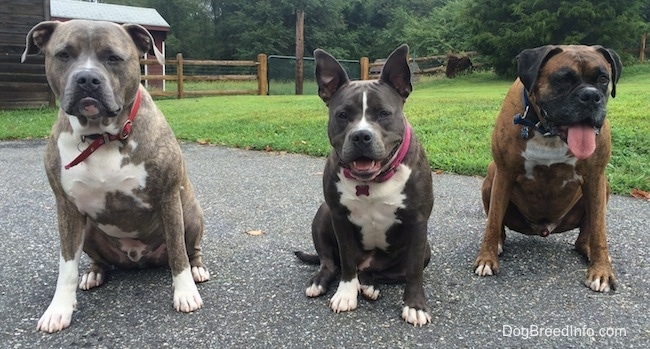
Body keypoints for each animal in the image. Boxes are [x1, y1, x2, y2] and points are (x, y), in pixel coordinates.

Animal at [22, 19, 210, 332]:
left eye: (113, 57)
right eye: (63, 54)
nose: (87, 79)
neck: (102, 136)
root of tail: (136, 259)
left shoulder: (169, 196)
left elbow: (178, 252)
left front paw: (185, 293)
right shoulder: (66, 208)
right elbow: (66, 265)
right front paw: (59, 309)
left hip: (191, 213)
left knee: (190, 249)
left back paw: (197, 270)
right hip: (88, 230)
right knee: (97, 261)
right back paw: (93, 274)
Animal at [296, 44, 432, 324]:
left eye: (383, 113)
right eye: (342, 115)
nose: (361, 136)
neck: (373, 179)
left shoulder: (417, 222)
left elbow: (413, 270)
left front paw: (415, 306)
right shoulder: (339, 218)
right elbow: (346, 262)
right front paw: (345, 294)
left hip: (425, 249)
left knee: (383, 273)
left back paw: (369, 284)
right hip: (323, 214)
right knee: (330, 262)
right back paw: (321, 281)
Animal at [474, 44, 620, 292]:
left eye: (603, 79)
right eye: (562, 79)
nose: (591, 96)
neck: (547, 131)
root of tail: (543, 229)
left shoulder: (595, 176)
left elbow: (599, 230)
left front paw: (601, 272)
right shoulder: (504, 173)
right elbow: (492, 222)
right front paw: (486, 259)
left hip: (604, 186)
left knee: (585, 235)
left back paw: (590, 251)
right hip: (491, 177)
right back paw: (500, 243)